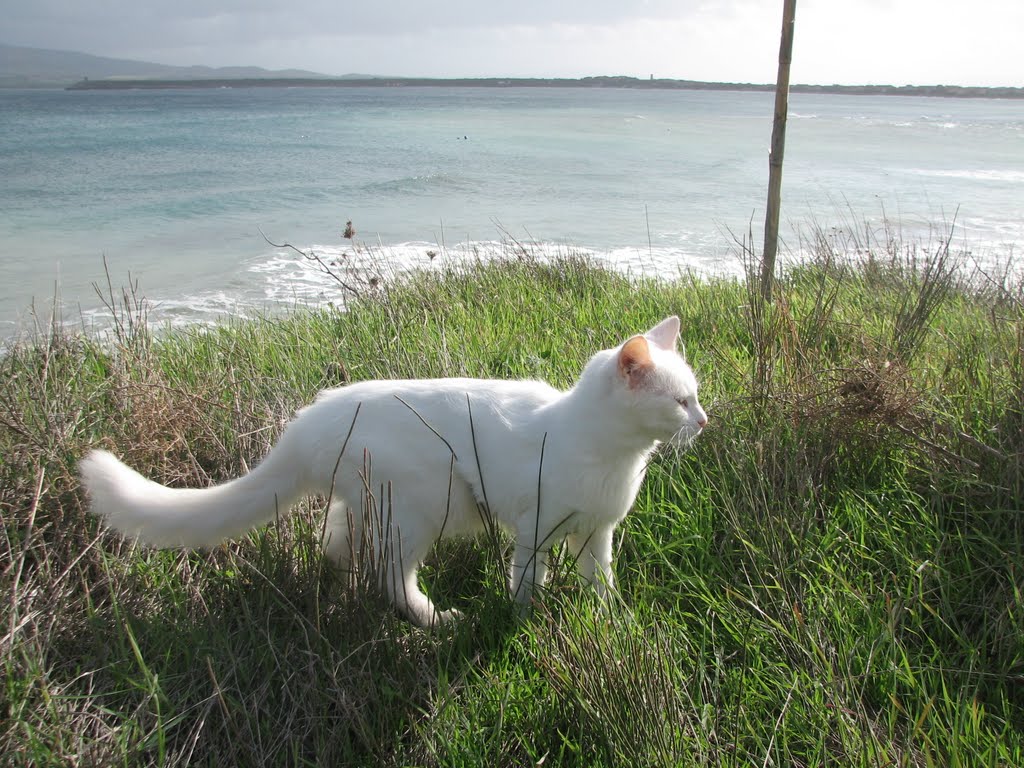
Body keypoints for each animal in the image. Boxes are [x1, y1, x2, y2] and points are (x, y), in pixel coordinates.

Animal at [79, 315, 708, 626]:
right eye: (681, 402)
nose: (704, 420)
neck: (613, 456)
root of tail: (310, 416)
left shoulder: (596, 534)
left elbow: (601, 583)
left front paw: (611, 621)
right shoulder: (535, 529)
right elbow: (527, 582)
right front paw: (524, 622)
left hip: (370, 505)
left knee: (335, 545)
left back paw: (338, 597)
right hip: (420, 508)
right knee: (390, 578)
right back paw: (438, 619)